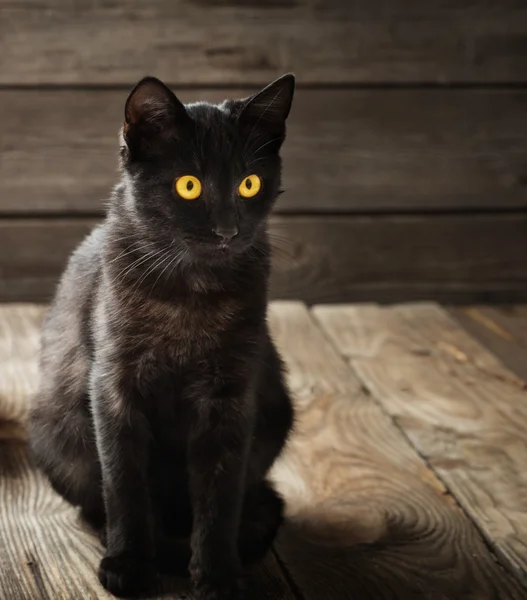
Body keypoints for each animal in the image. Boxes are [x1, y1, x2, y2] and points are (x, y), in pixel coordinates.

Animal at [28, 75, 296, 600]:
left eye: (249, 183)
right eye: (188, 186)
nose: (227, 229)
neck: (190, 299)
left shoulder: (230, 396)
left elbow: (219, 495)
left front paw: (217, 576)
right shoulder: (114, 387)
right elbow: (125, 484)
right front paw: (130, 563)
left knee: (256, 499)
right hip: (58, 431)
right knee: (95, 501)